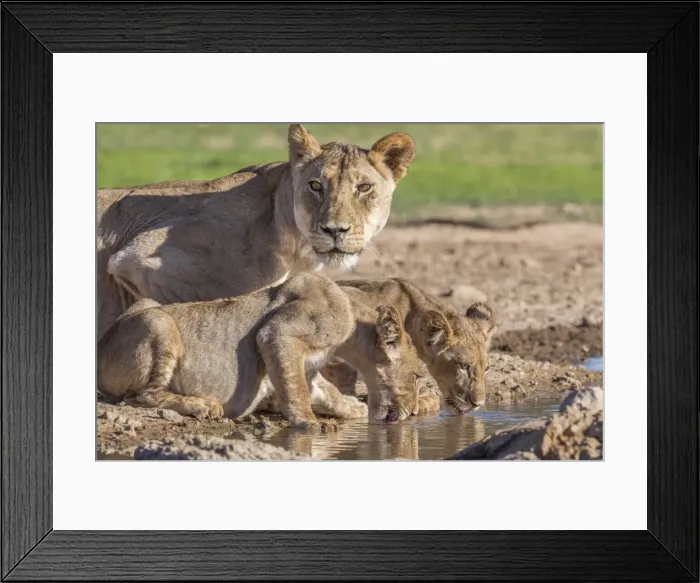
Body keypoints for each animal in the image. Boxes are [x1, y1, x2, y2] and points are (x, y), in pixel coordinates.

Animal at [97, 273, 432, 431]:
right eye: (417, 376)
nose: (414, 411)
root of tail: (100, 347)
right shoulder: (278, 334)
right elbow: (297, 392)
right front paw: (311, 423)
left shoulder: (308, 367)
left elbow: (324, 392)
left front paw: (354, 407)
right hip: (158, 322)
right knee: (141, 396)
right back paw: (202, 405)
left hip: (146, 304)